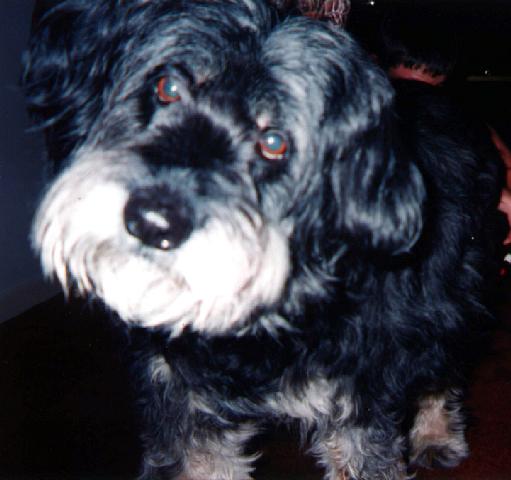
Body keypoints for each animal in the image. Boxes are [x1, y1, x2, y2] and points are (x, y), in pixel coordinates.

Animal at [22, 1, 505, 478]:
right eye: (168, 87)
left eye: (274, 142)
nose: (152, 222)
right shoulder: (184, 406)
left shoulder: (359, 400)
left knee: (442, 368)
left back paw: (437, 434)